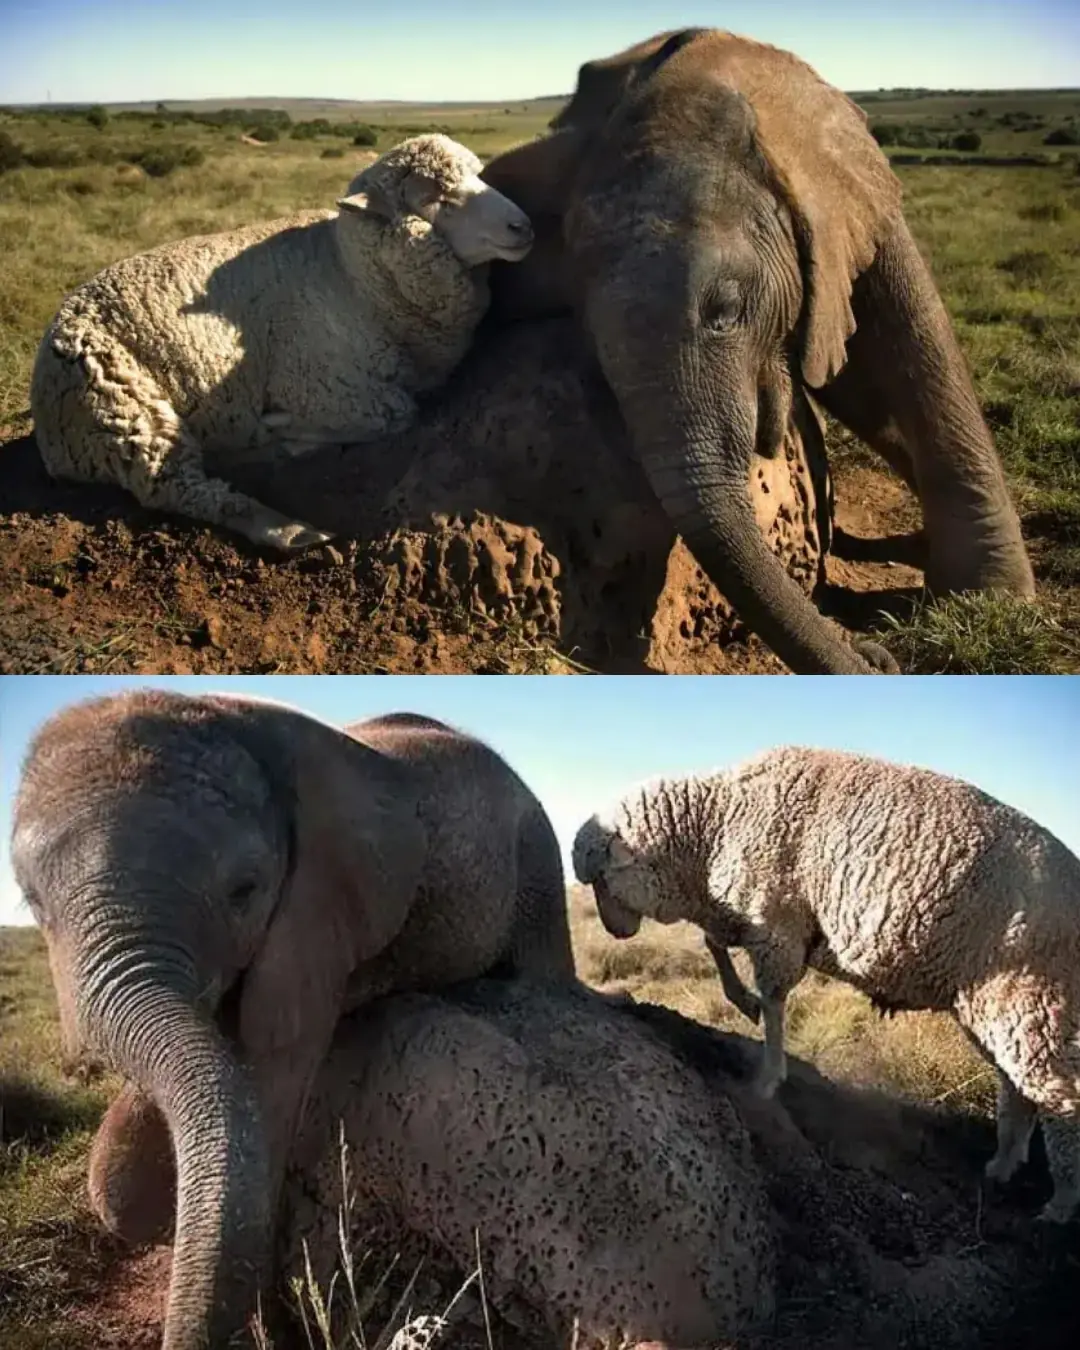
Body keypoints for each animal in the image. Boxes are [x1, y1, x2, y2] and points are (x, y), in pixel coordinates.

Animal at [10, 692, 575, 1350]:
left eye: (244, 891)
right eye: (32, 901)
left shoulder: (319, 914)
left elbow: (270, 1088)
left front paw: (269, 1330)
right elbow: (126, 1178)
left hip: (536, 855)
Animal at [29, 133, 534, 552]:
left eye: (478, 175)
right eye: (437, 199)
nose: (523, 226)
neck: (354, 276)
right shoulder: (320, 386)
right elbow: (398, 412)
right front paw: (286, 430)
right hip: (120, 406)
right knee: (178, 488)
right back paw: (288, 524)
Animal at [479, 28, 1035, 675]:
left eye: (726, 309)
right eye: (589, 341)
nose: (878, 653)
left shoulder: (845, 191)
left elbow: (916, 342)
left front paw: (993, 604)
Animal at [572, 746, 1080, 1223]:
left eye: (601, 879)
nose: (615, 933)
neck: (714, 824)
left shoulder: (776, 924)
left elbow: (774, 1003)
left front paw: (765, 1077)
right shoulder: (744, 918)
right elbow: (714, 943)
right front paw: (741, 1002)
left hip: (1035, 1001)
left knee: (1061, 1101)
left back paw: (1059, 1205)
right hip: (995, 1010)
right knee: (1018, 1089)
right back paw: (1003, 1166)